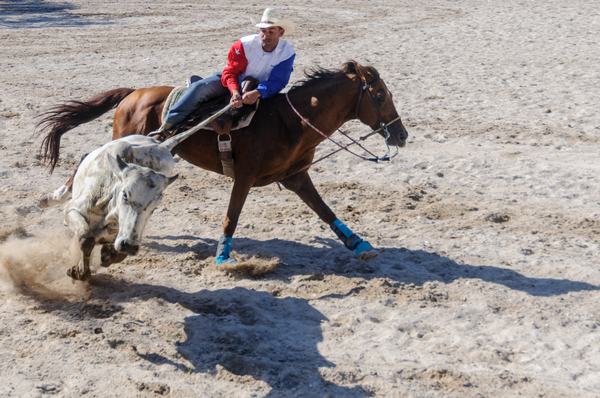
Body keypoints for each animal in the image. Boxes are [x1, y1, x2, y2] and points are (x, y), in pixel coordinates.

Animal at [38, 61, 408, 264]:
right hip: (128, 140)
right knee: (89, 161)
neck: (290, 121)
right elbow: (232, 216)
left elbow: (325, 211)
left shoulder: (296, 177)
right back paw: (51, 199)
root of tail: (133, 92)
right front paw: (222, 256)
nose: (401, 134)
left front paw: (359, 244)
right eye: (379, 95)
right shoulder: (244, 177)